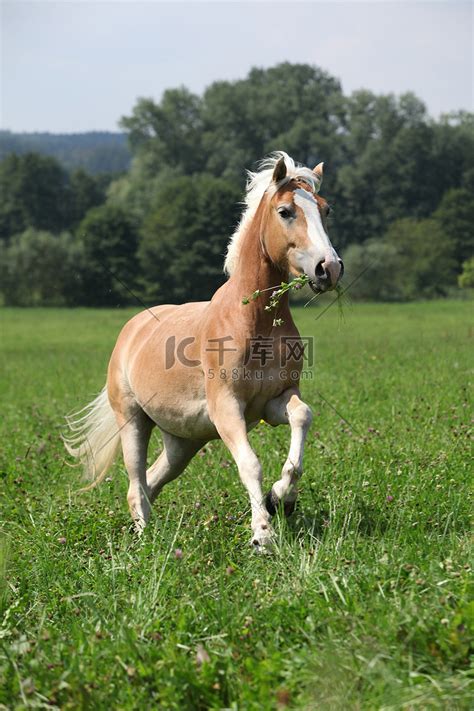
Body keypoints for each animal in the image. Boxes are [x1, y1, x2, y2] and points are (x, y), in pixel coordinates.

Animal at [65, 150, 342, 552]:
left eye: (325, 209)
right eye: (286, 211)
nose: (329, 268)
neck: (254, 321)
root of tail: (131, 330)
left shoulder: (273, 402)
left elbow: (302, 417)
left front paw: (281, 498)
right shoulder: (227, 407)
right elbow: (250, 464)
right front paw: (262, 534)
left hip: (183, 442)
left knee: (152, 480)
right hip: (132, 420)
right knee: (135, 484)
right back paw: (145, 542)